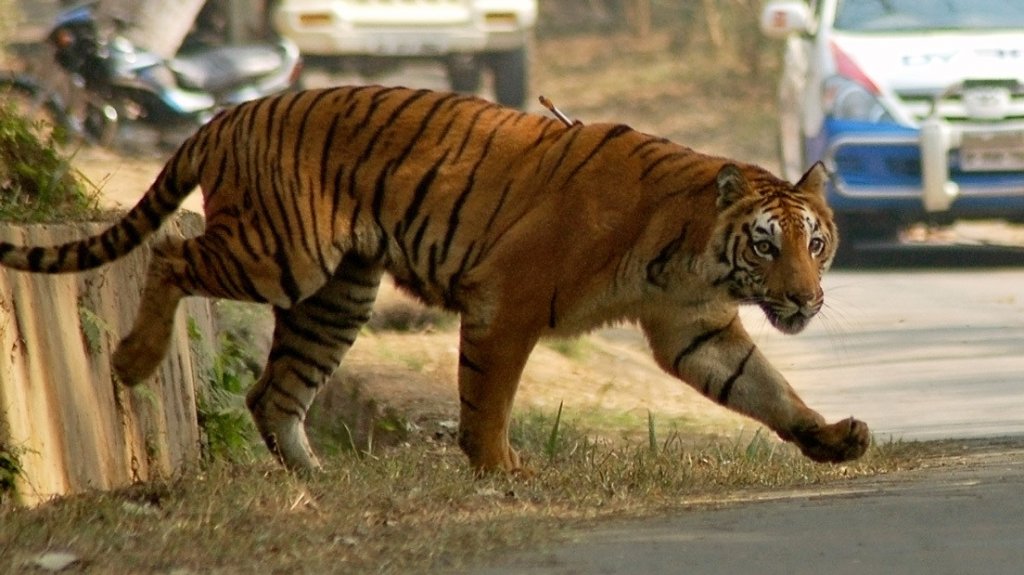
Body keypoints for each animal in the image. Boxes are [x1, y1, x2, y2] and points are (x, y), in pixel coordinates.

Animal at [0, 85, 870, 473]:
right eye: (766, 246)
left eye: (815, 242)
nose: (805, 297)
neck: (692, 250)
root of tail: (227, 114)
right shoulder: (509, 303)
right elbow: (488, 397)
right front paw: (499, 468)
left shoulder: (696, 327)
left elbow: (767, 390)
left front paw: (830, 437)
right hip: (282, 255)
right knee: (170, 257)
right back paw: (131, 360)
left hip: (335, 293)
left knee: (272, 393)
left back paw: (322, 480)